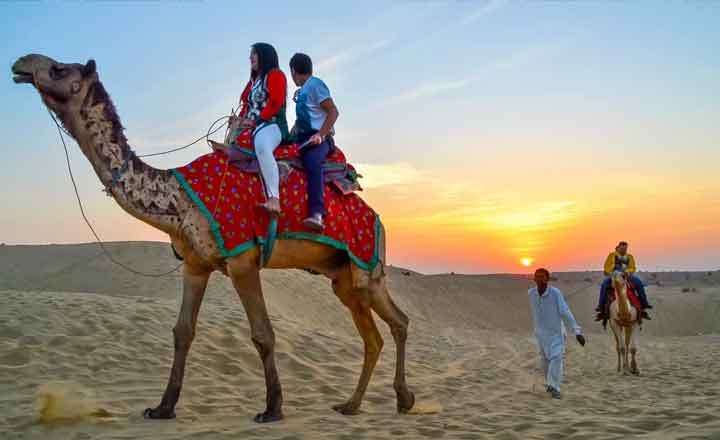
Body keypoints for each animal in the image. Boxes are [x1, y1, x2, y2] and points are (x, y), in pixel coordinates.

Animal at [12, 54, 416, 422]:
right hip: (342, 275)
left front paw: (272, 409)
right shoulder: (195, 264)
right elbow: (182, 331)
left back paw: (396, 399)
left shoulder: (241, 259)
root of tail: (377, 217)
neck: (178, 198)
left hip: (365, 264)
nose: (20, 64)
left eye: (59, 69)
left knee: (394, 323)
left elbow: (263, 334)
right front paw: (163, 407)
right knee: (381, 332)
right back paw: (359, 404)